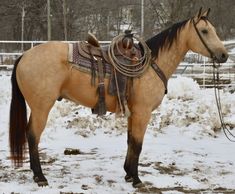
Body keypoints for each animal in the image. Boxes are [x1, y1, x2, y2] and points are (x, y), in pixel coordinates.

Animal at [9, 9, 228, 188]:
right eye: (205, 31)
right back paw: (40, 177)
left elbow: (130, 141)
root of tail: (24, 55)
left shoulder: (134, 112)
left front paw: (128, 174)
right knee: (33, 136)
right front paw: (137, 179)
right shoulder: (142, 112)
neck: (151, 65)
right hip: (41, 107)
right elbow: (138, 144)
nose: (224, 55)